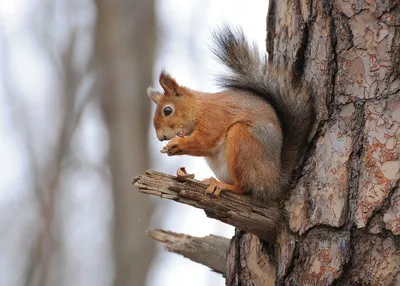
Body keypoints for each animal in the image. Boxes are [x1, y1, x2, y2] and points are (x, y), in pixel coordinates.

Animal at [148, 26, 316, 206]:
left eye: (167, 110)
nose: (161, 137)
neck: (198, 107)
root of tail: (273, 183)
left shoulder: (214, 116)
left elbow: (206, 138)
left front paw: (179, 143)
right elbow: (204, 147)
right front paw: (172, 148)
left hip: (243, 142)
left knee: (245, 187)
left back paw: (223, 185)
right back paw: (211, 180)